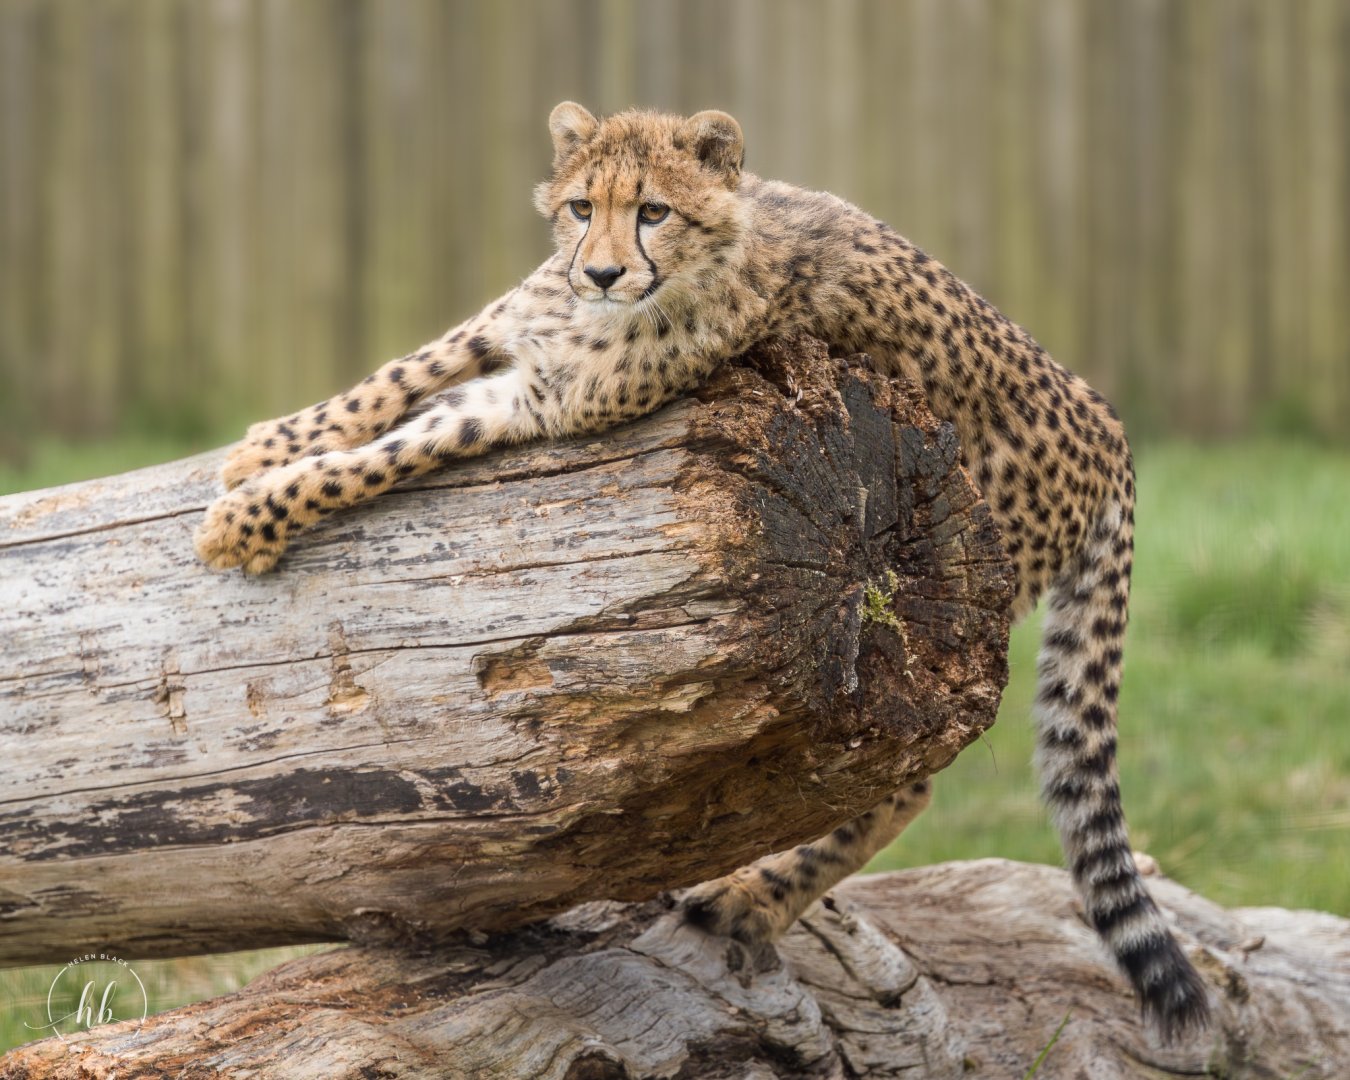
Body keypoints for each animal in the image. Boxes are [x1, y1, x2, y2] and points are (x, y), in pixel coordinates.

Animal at [195, 102, 1211, 1041]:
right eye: (583, 207)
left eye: (653, 211)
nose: (604, 271)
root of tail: (1110, 425)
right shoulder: (512, 324)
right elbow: (396, 379)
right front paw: (268, 448)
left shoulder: (541, 401)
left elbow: (390, 453)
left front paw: (244, 523)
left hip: (949, 609)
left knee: (902, 780)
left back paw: (753, 895)